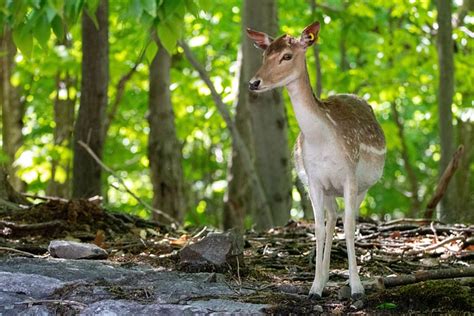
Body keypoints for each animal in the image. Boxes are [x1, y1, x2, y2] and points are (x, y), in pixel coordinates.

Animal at [246, 21, 386, 298]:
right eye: (264, 55)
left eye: (287, 56)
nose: (254, 82)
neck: (322, 141)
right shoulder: (314, 181)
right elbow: (318, 228)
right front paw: (314, 288)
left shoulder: (349, 176)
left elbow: (349, 226)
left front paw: (356, 288)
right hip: (327, 189)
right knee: (331, 218)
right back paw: (324, 277)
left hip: (363, 186)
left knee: (346, 219)